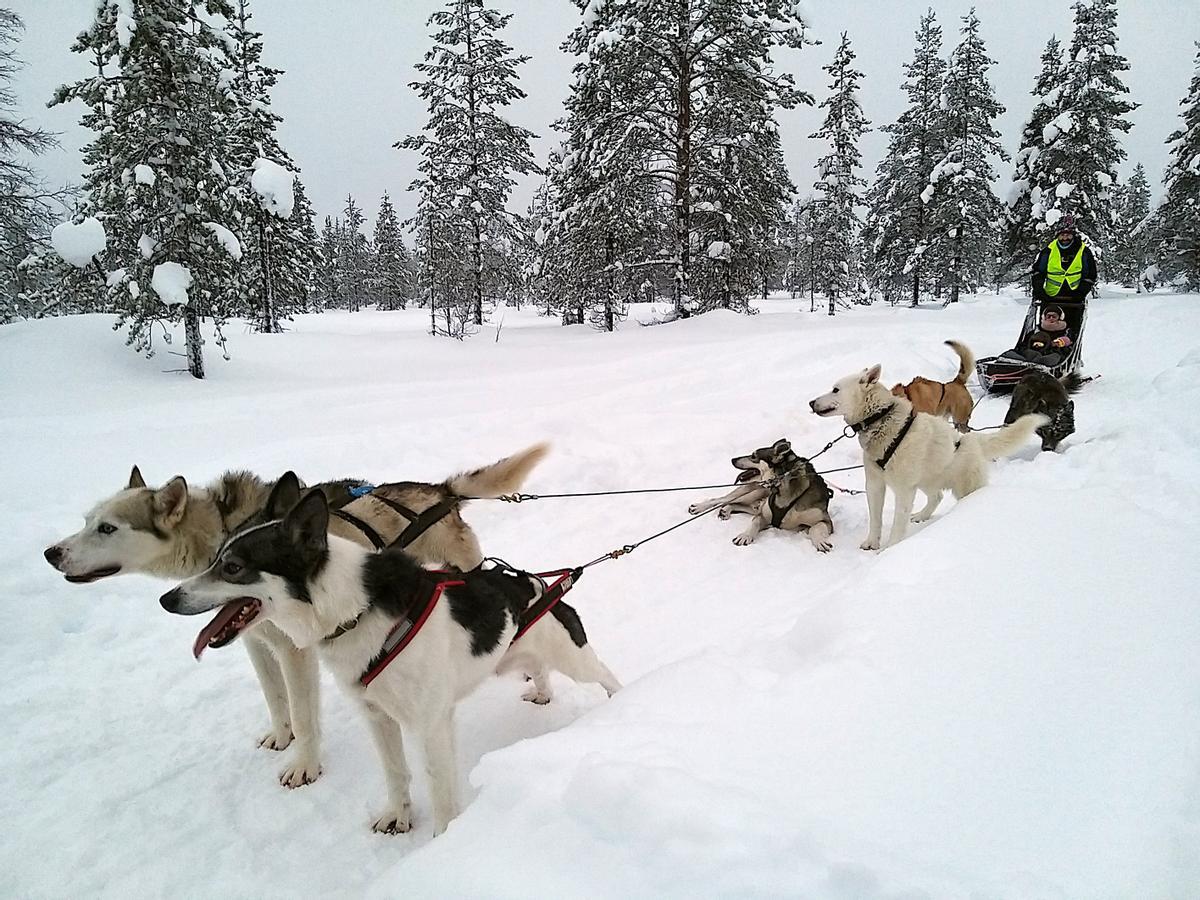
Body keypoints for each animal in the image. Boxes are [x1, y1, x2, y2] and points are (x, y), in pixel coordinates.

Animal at [811, 364, 1046, 549]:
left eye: (835, 389)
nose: (811, 402)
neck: (881, 419)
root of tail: (972, 440)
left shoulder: (904, 490)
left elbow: (897, 525)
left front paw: (889, 550)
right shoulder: (875, 484)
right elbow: (875, 520)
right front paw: (872, 543)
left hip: (960, 487)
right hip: (925, 479)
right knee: (937, 497)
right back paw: (922, 516)